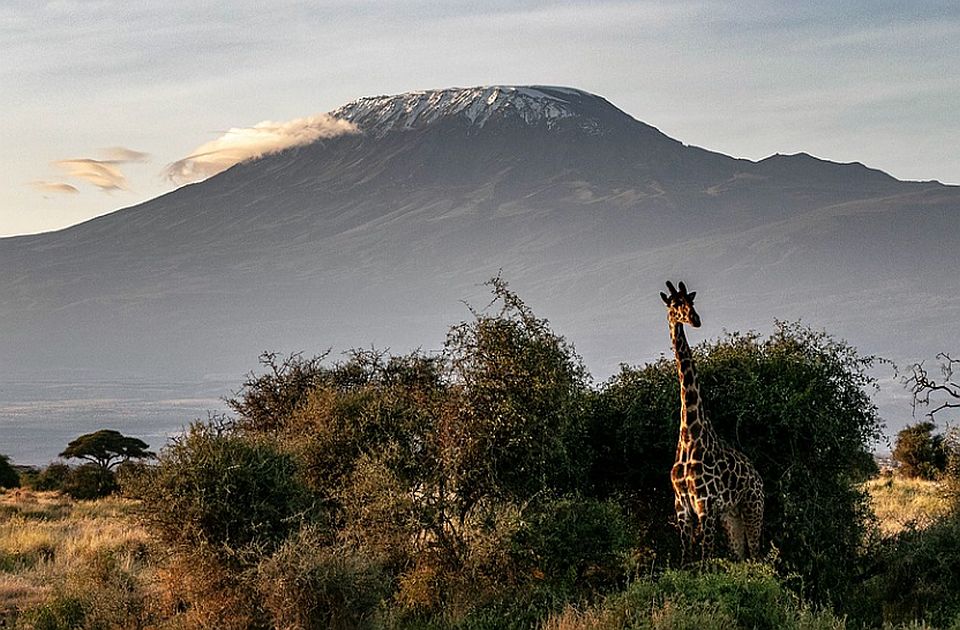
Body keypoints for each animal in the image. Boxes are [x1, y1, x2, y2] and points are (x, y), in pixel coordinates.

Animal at [660, 282, 764, 564]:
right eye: (675, 304)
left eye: (692, 302)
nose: (695, 320)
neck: (690, 434)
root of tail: (759, 479)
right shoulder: (682, 506)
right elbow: (686, 559)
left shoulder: (705, 503)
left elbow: (706, 560)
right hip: (731, 516)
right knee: (741, 556)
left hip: (753, 508)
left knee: (758, 556)